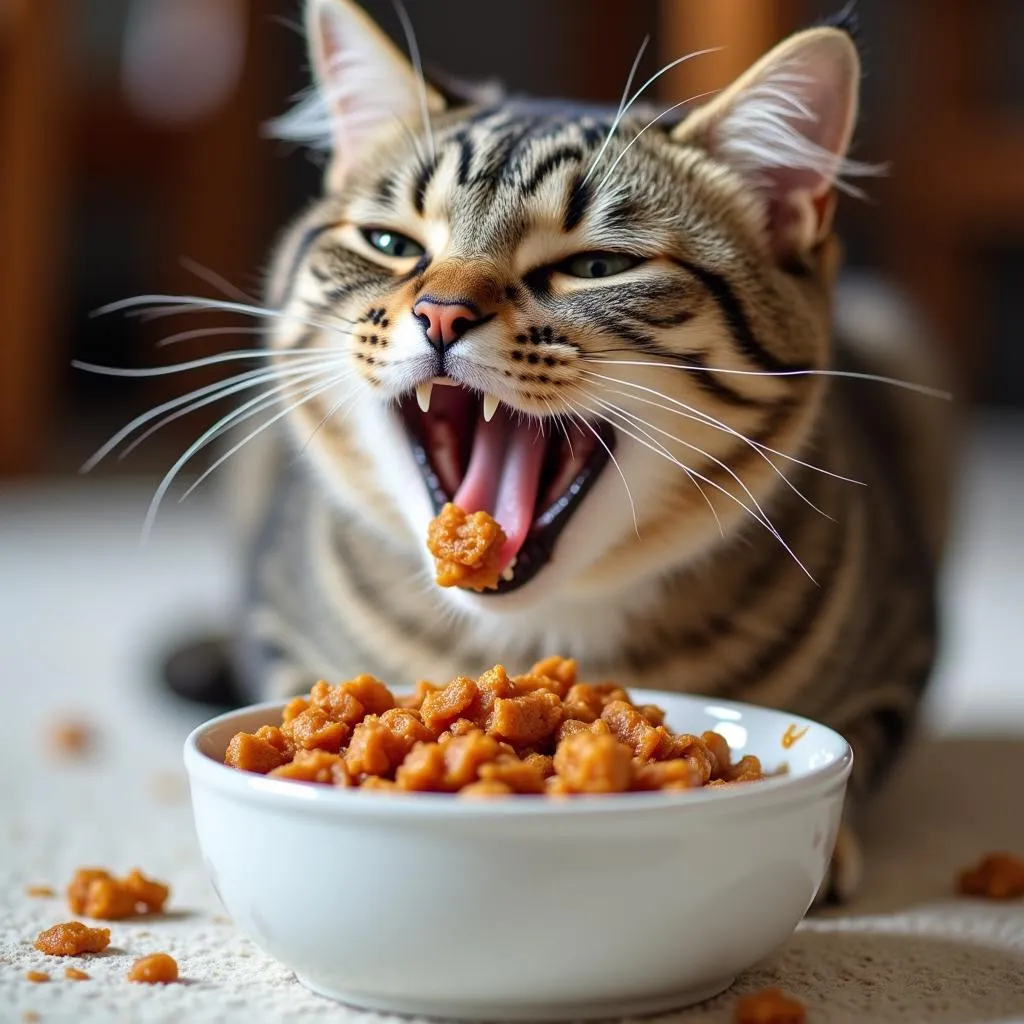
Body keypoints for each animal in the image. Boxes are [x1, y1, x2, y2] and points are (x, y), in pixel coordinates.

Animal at [159, 0, 950, 901]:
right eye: (392, 245)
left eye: (597, 264)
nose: (439, 311)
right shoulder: (277, 624)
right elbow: (291, 674)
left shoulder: (905, 649)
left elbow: (863, 734)